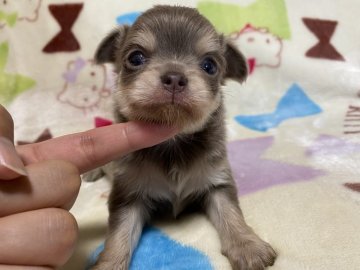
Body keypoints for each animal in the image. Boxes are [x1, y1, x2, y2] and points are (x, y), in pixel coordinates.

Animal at [91, 4, 278, 270]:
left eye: (210, 65)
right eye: (135, 58)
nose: (175, 77)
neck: (173, 142)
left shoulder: (217, 183)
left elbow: (231, 214)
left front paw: (248, 246)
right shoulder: (128, 195)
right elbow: (119, 237)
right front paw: (108, 265)